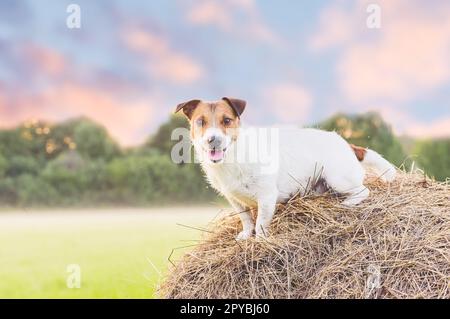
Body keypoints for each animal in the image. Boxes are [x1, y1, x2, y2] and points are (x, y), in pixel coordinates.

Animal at [174, 97, 396, 240]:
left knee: (363, 191)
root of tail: (347, 144)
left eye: (226, 120)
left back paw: (348, 203)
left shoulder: (266, 196)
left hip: (339, 179)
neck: (234, 156)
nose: (213, 140)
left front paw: (260, 240)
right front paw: (246, 235)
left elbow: (260, 223)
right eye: (200, 121)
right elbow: (246, 218)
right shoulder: (234, 199)